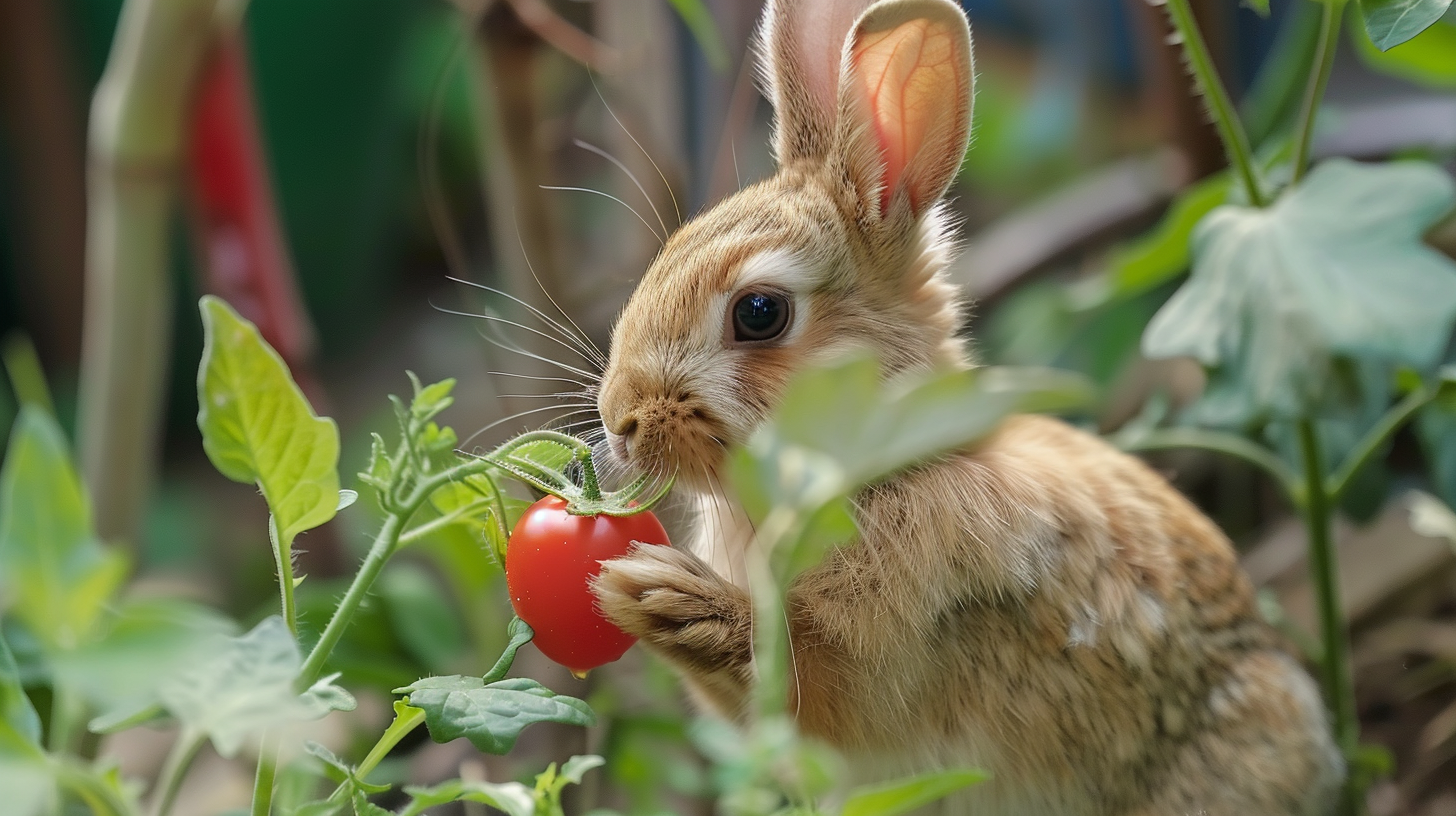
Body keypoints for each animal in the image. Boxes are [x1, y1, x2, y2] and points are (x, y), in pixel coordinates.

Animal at [588, 0, 1339, 810]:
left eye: (760, 313)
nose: (620, 422)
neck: (872, 467)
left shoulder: (894, 633)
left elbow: (807, 678)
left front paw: (658, 594)